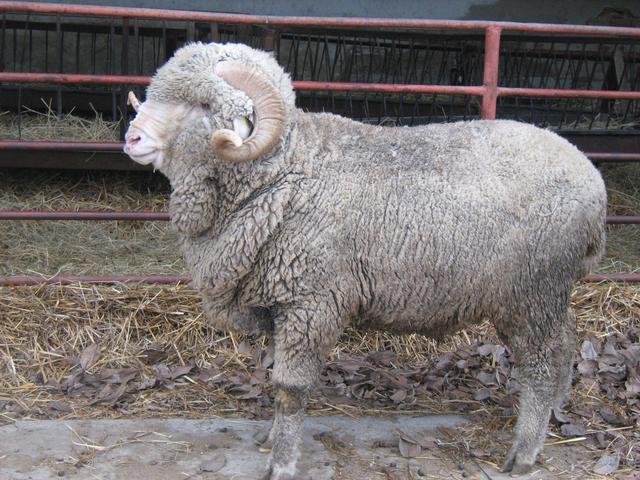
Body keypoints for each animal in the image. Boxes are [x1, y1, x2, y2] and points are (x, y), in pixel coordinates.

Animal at [123, 42, 607, 479]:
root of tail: (594, 182)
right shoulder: (282, 302)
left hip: (530, 291)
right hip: (549, 292)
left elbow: (289, 387)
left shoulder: (310, 302)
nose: (131, 137)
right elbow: (276, 377)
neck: (289, 172)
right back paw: (554, 413)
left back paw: (524, 452)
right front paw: (272, 436)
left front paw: (282, 461)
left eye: (203, 104)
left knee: (541, 365)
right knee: (566, 340)